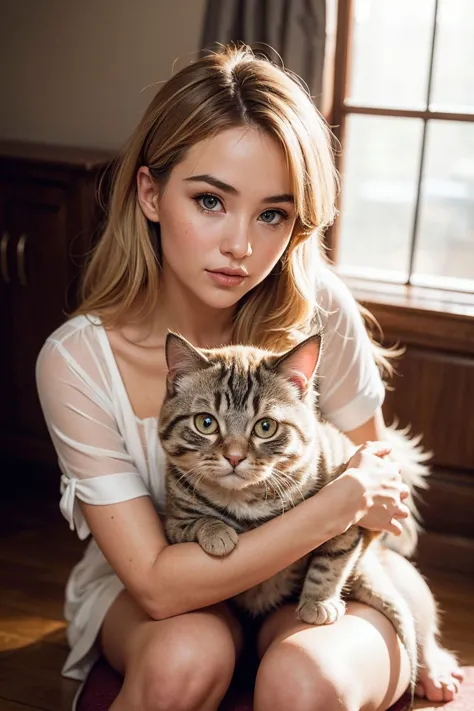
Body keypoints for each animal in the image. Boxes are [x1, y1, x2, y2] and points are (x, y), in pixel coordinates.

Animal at [158, 332, 422, 688]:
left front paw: (318, 602)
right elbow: (197, 521)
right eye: (206, 423)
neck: (246, 499)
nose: (234, 457)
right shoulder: (174, 522)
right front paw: (218, 533)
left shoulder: (351, 517)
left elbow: (330, 562)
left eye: (265, 427)